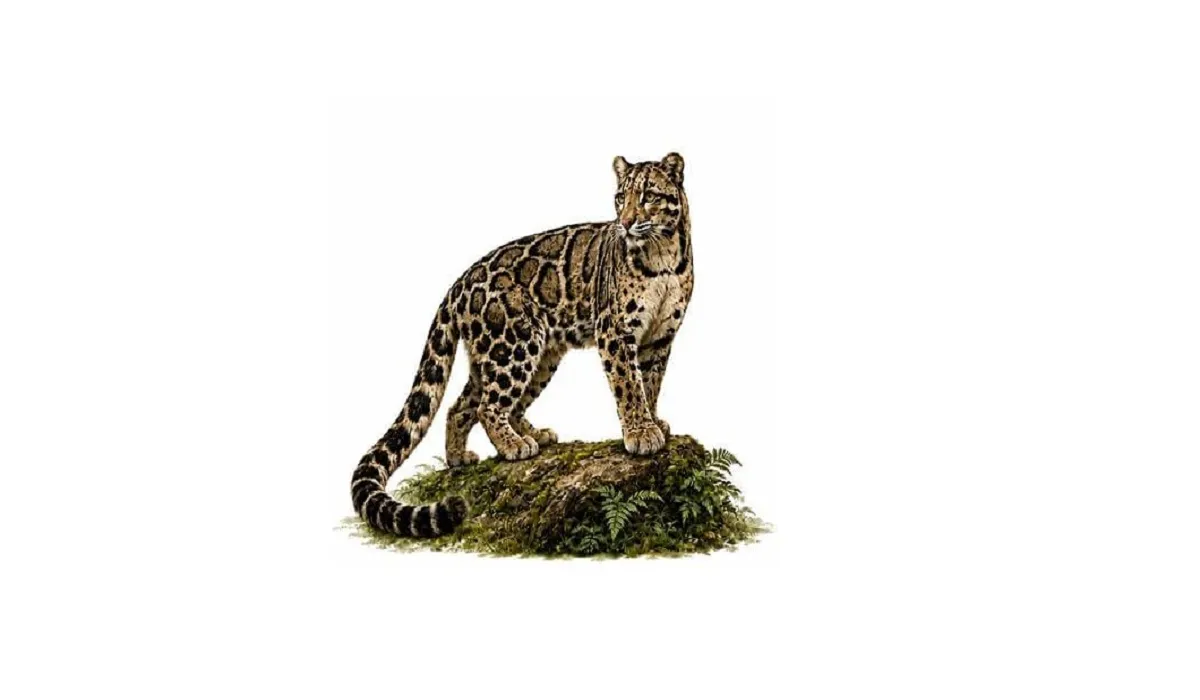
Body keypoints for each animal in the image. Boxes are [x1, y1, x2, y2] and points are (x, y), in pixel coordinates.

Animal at [350, 153, 694, 537]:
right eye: (621, 197)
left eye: (648, 195)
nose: (627, 222)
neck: (663, 256)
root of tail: (458, 284)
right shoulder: (616, 332)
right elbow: (630, 386)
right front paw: (641, 433)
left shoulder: (660, 338)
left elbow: (650, 383)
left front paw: (654, 422)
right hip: (514, 344)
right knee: (488, 406)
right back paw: (514, 445)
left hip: (529, 355)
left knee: (463, 406)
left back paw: (467, 455)